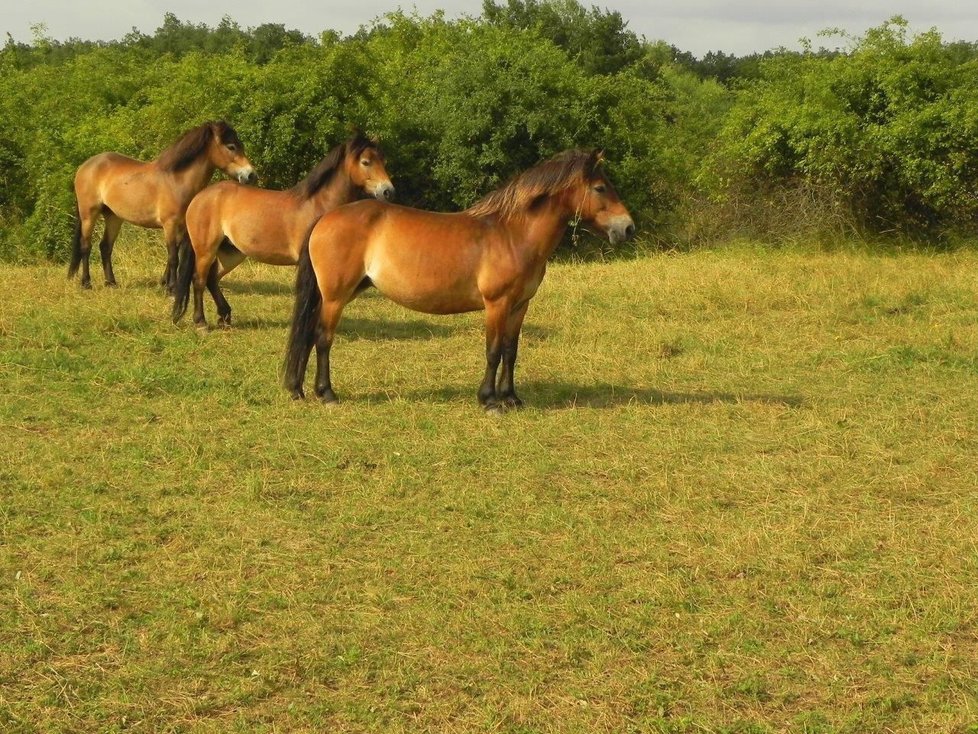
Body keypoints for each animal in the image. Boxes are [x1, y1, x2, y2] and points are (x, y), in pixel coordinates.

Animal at [70, 121, 258, 290]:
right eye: (231, 146)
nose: (251, 175)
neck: (176, 180)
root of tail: (85, 166)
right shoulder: (170, 224)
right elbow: (173, 256)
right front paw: (171, 288)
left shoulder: (181, 227)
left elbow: (173, 256)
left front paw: (165, 283)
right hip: (89, 214)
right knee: (86, 245)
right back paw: (86, 283)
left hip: (113, 217)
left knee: (105, 247)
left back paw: (111, 283)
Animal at [172, 132, 392, 328]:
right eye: (366, 162)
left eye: (383, 160)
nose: (388, 190)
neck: (317, 206)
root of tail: (200, 197)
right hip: (205, 250)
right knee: (199, 280)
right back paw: (201, 322)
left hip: (231, 253)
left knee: (212, 279)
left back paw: (225, 317)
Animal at [282, 150, 632, 414]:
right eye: (600, 188)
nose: (627, 227)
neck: (512, 234)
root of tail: (326, 218)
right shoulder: (497, 304)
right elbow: (493, 351)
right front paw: (490, 401)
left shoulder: (519, 306)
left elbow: (510, 350)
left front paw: (511, 398)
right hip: (335, 297)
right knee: (323, 338)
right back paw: (327, 394)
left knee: (309, 335)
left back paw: (299, 389)